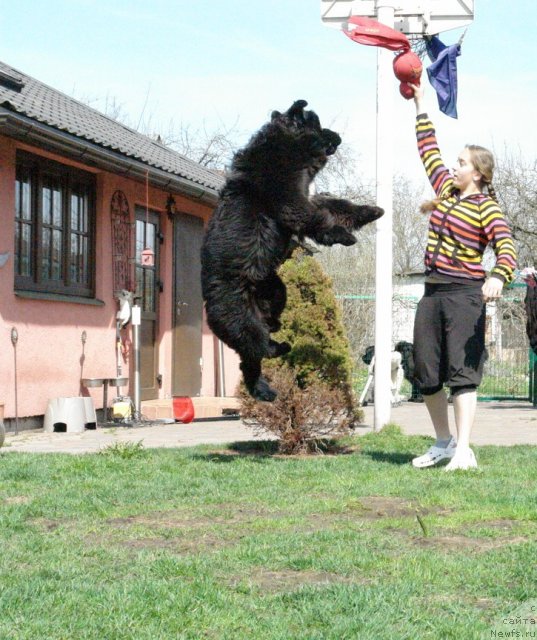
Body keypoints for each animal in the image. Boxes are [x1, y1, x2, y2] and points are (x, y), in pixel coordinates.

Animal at [201, 100, 383, 401]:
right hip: (241, 318)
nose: (338, 137)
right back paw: (277, 353)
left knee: (254, 353)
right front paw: (344, 235)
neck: (284, 150)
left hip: (273, 288)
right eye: (318, 124)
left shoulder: (307, 195)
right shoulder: (290, 200)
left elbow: (336, 204)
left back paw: (269, 370)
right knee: (257, 349)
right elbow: (316, 217)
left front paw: (370, 211)